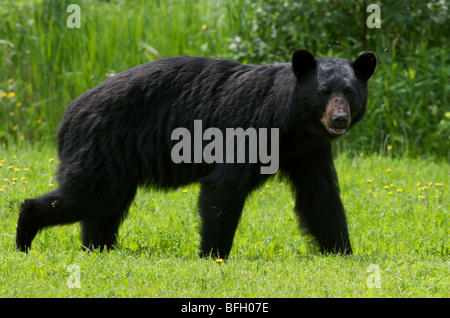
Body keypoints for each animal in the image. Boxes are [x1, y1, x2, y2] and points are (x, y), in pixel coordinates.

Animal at [15, 49, 376, 258]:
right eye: (323, 92)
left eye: (350, 92)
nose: (339, 119)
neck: (289, 122)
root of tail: (68, 112)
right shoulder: (248, 128)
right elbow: (224, 186)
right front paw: (213, 255)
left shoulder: (308, 149)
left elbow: (320, 196)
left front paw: (343, 252)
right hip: (102, 146)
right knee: (86, 197)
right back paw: (24, 236)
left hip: (116, 163)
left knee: (104, 208)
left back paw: (98, 248)